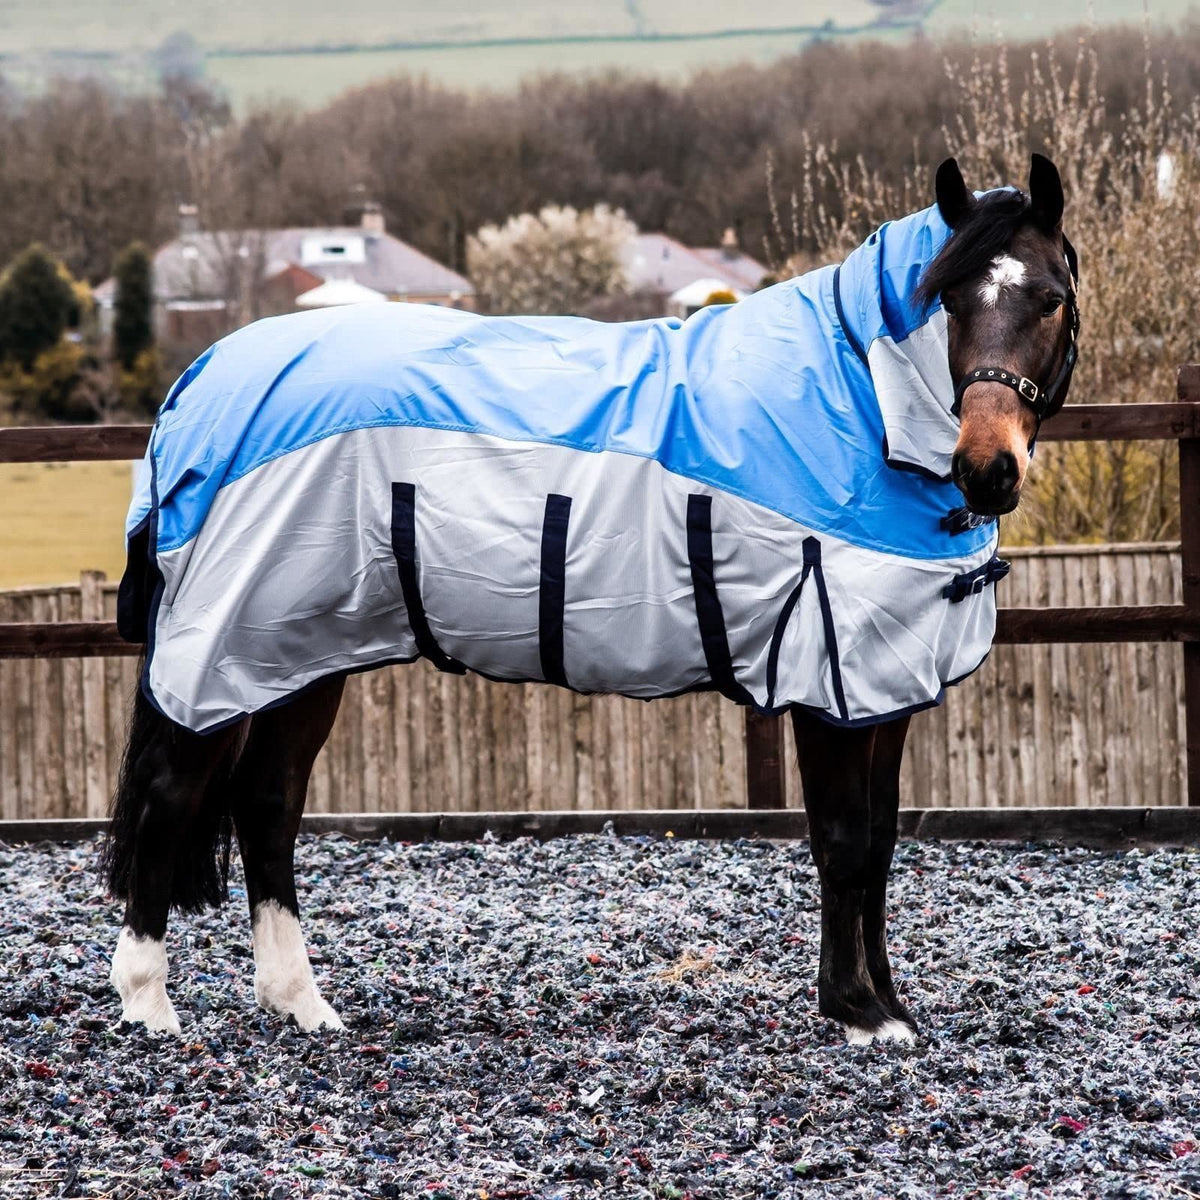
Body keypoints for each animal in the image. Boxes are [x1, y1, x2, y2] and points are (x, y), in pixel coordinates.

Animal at [104, 154, 1079, 1044]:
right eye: (949, 301)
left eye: (1049, 298)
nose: (986, 468)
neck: (856, 402)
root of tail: (197, 385)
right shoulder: (830, 682)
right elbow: (842, 840)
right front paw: (858, 1014)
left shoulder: (887, 685)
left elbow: (878, 843)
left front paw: (890, 1006)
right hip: (223, 646)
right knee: (169, 794)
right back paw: (149, 1005)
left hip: (299, 653)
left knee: (269, 805)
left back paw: (302, 1005)